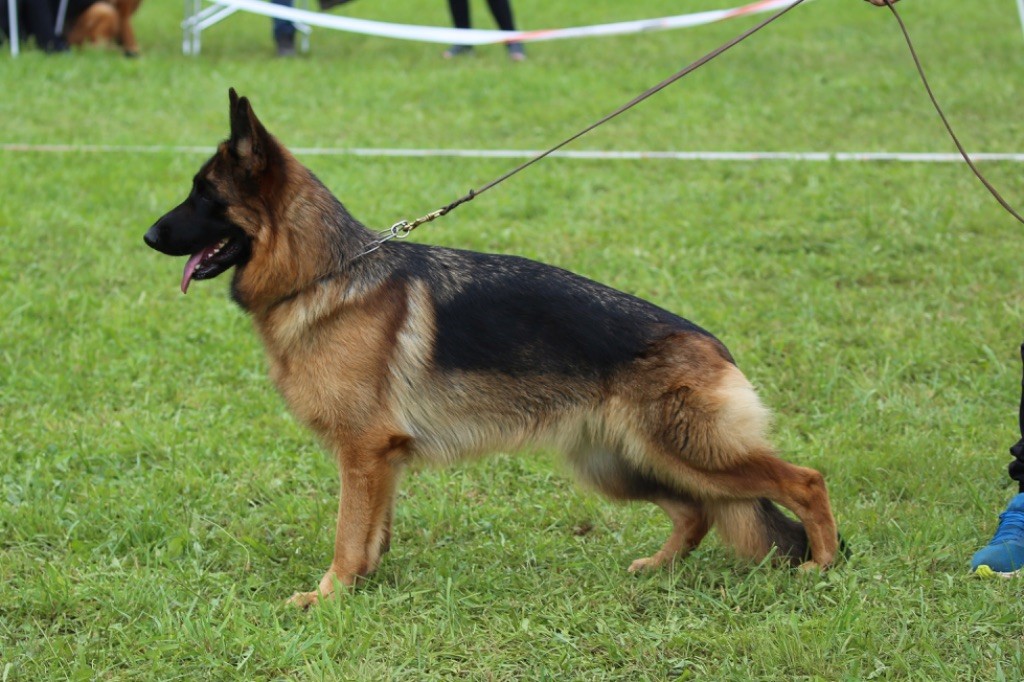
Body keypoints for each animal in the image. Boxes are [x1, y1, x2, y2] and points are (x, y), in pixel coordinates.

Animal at [146, 90, 847, 606]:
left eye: (204, 196)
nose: (148, 236)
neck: (325, 273)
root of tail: (713, 345)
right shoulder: (381, 460)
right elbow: (374, 533)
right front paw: (364, 586)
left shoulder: (362, 453)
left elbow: (348, 534)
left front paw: (328, 596)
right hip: (621, 464)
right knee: (698, 512)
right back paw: (659, 566)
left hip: (687, 452)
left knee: (805, 480)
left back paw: (822, 565)